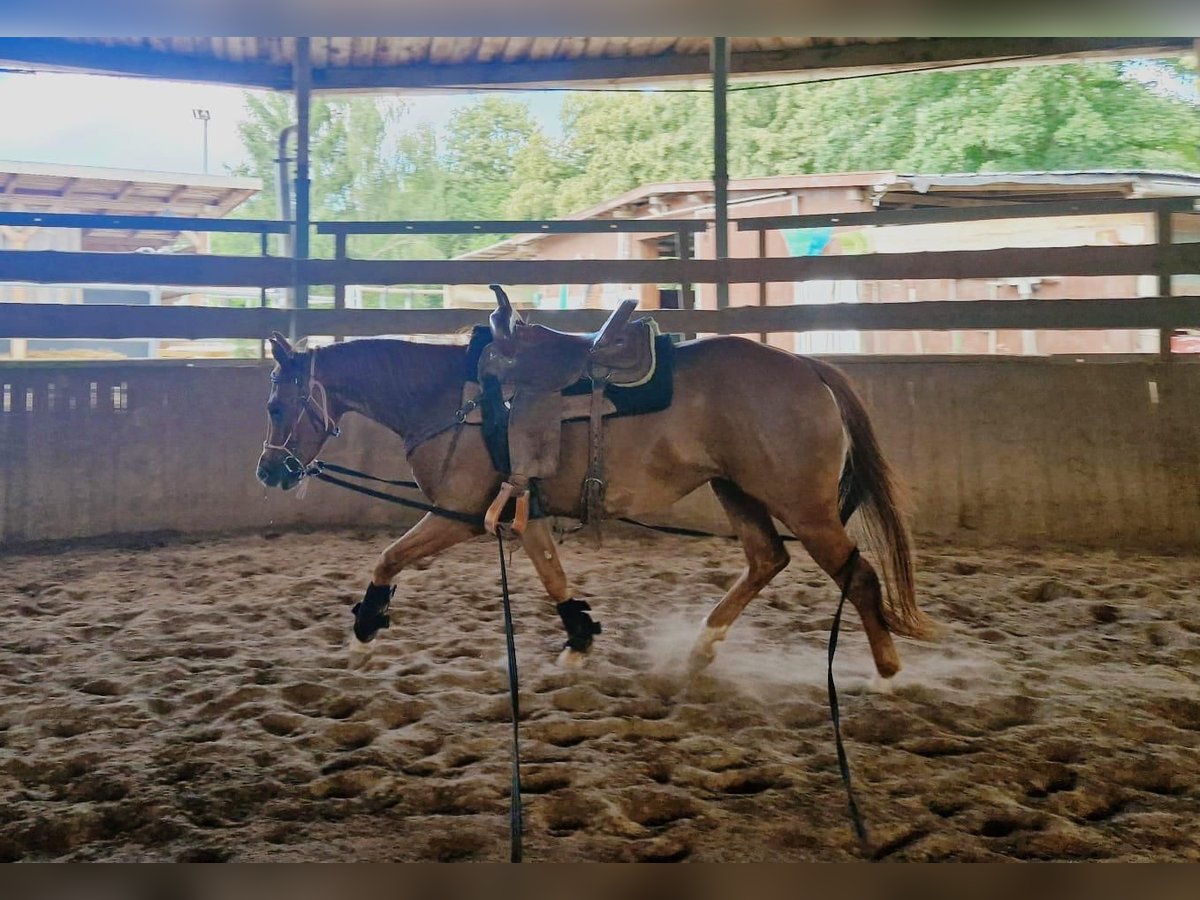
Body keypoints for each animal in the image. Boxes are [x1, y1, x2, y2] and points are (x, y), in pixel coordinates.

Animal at [256, 322, 934, 682]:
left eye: (276, 405)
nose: (269, 470)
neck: (456, 398)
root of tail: (807, 365)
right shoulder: (523, 511)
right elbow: (552, 574)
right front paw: (579, 638)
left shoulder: (464, 514)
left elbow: (389, 558)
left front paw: (366, 625)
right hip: (738, 491)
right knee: (768, 560)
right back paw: (701, 648)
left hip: (805, 509)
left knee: (859, 575)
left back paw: (888, 672)